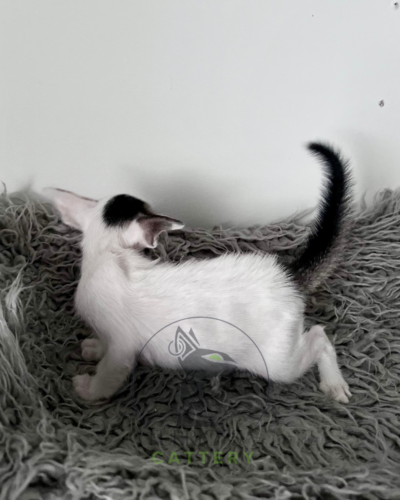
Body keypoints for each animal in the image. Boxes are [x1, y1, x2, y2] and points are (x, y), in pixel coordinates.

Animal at [44, 142, 353, 404]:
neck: (105, 255)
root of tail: (286, 276)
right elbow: (103, 345)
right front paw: (95, 347)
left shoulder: (122, 345)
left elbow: (110, 373)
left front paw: (89, 389)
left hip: (277, 361)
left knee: (319, 336)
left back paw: (334, 383)